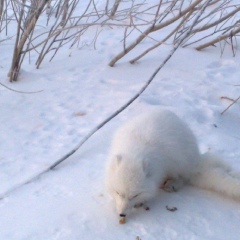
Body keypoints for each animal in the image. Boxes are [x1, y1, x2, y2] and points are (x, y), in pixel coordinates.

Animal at [105, 108, 240, 219]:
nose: (122, 214)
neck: (136, 151)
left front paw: (141, 202)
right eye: (118, 192)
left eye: (135, 195)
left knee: (183, 178)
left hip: (178, 162)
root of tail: (196, 160)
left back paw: (172, 184)